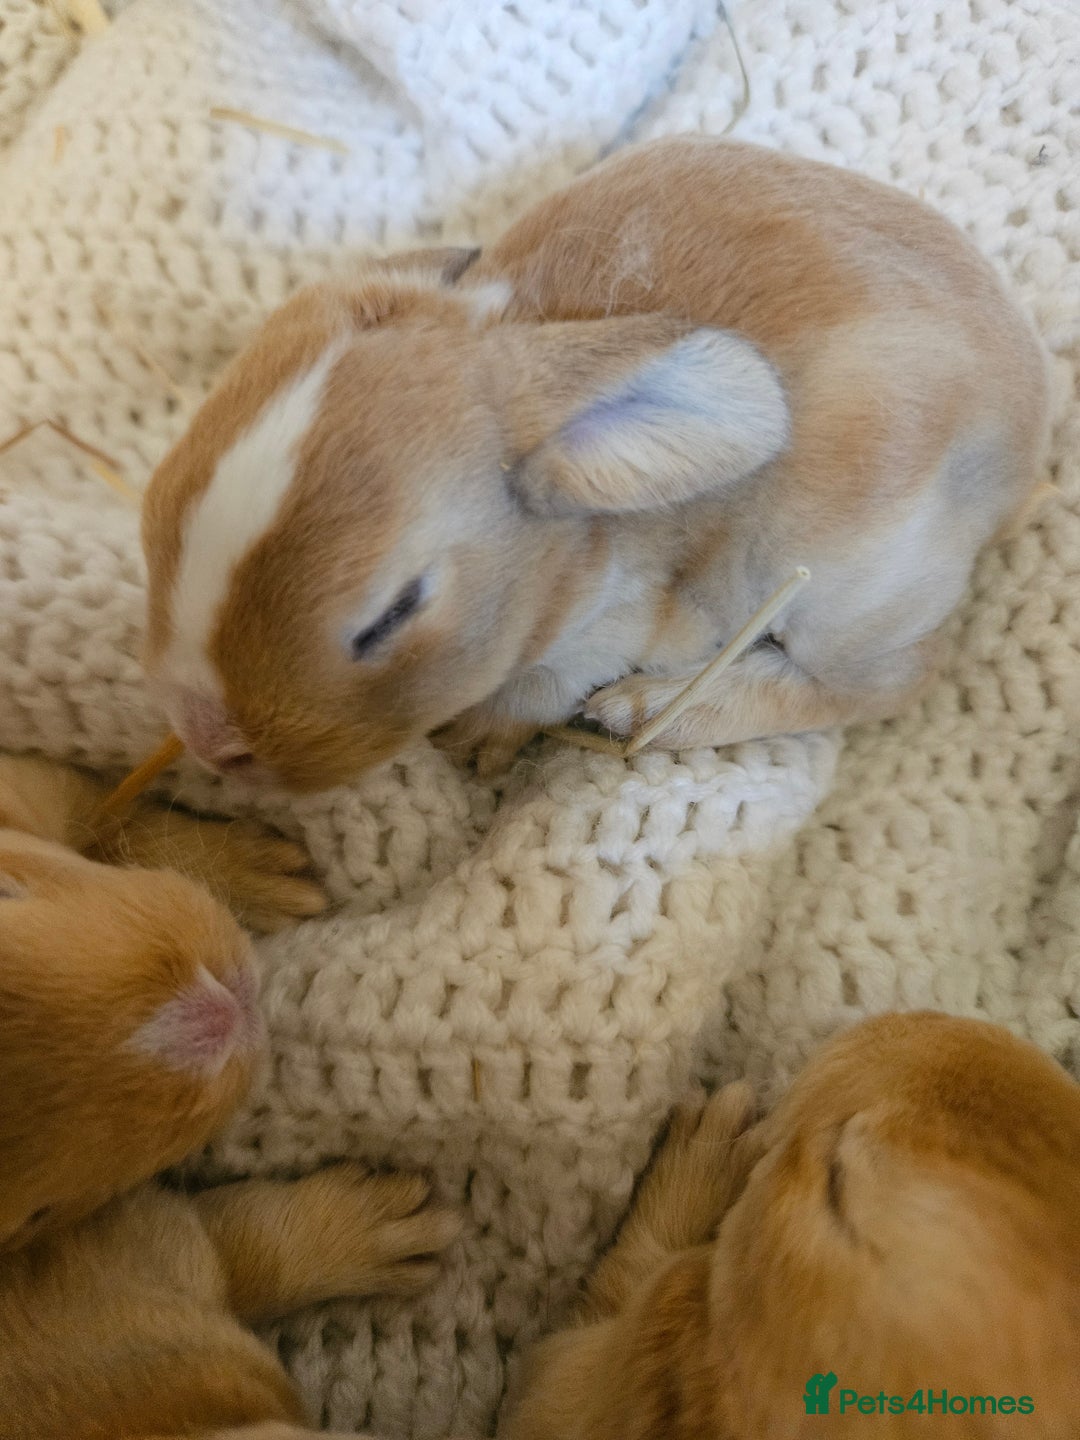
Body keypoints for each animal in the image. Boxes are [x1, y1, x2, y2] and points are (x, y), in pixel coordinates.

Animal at [0, 755, 459, 1440]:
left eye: (7, 895)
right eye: (37, 1214)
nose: (221, 1009)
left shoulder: (34, 785)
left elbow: (104, 812)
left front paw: (254, 870)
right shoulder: (148, 1248)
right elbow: (245, 1244)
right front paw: (383, 1222)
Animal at [140, 136, 1048, 792]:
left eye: (391, 616)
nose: (210, 744)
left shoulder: (610, 626)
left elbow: (545, 684)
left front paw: (480, 744)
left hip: (843, 587)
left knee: (888, 681)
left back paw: (641, 713)